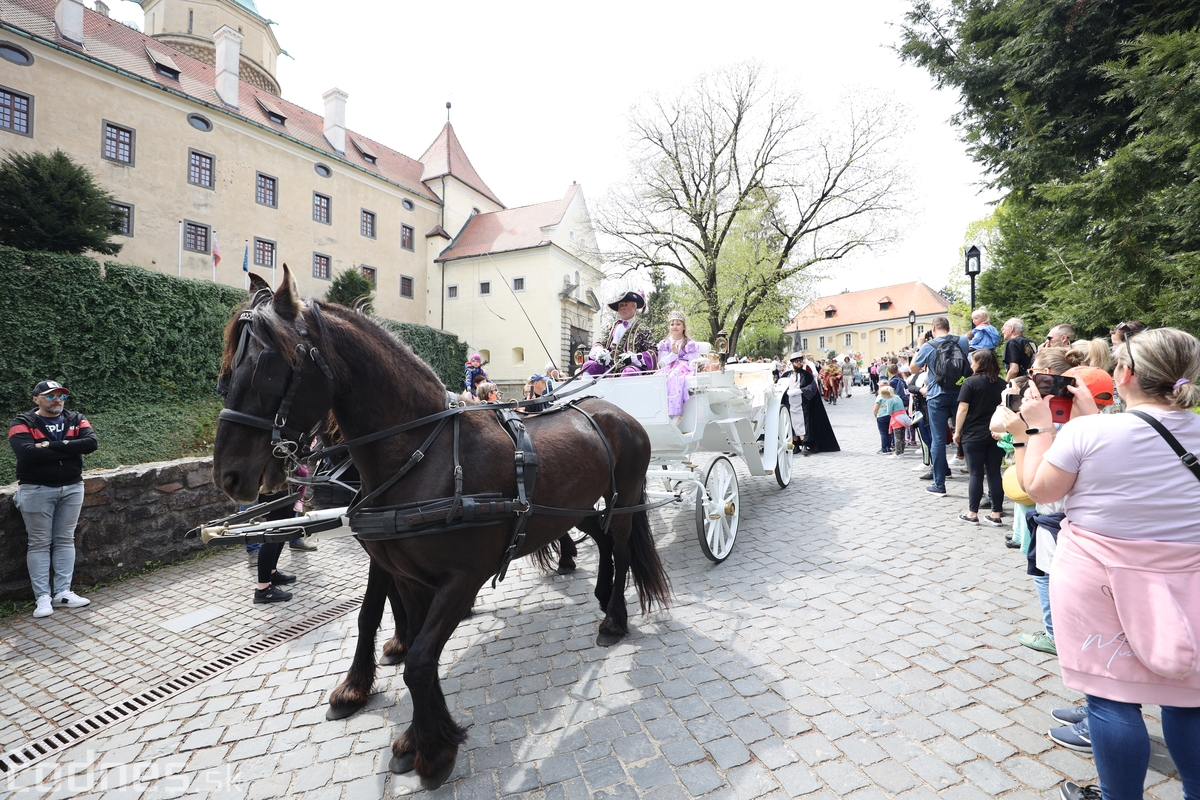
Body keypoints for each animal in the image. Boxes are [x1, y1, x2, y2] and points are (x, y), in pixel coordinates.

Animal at [211, 267, 672, 786]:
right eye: (227, 369)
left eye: (269, 366)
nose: (229, 475)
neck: (422, 453)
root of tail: (615, 411)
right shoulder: (401, 566)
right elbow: (395, 634)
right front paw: (398, 715)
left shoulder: (462, 578)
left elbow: (418, 660)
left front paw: (433, 748)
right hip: (572, 509)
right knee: (604, 540)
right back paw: (600, 591)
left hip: (625, 500)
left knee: (623, 545)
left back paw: (614, 617)